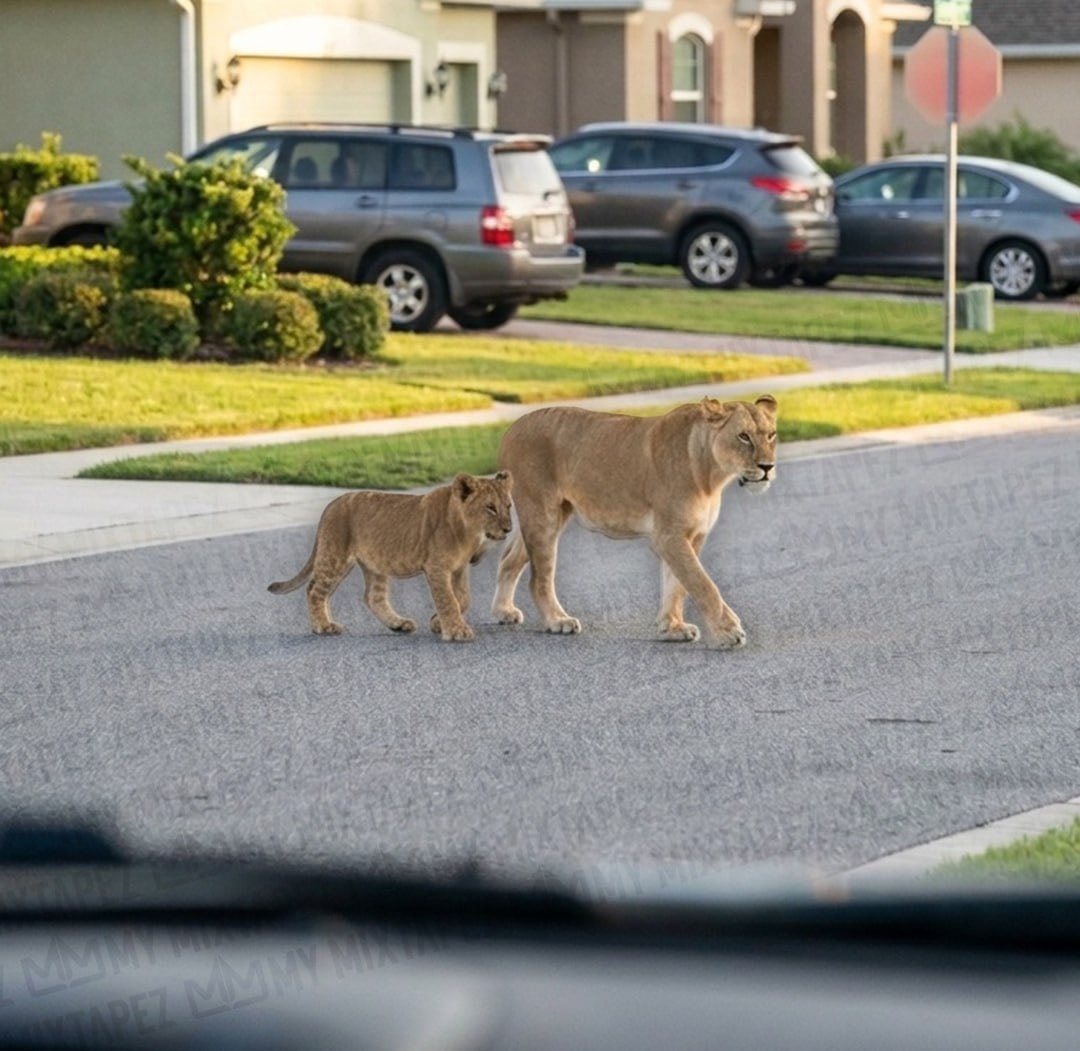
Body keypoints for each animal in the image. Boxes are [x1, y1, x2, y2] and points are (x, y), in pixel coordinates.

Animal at [269, 471, 513, 641]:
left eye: (509, 506)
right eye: (490, 508)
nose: (509, 529)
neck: (468, 532)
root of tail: (331, 505)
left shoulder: (459, 568)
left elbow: (463, 598)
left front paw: (437, 622)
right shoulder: (437, 568)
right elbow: (448, 599)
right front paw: (456, 631)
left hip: (375, 564)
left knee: (372, 597)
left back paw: (397, 624)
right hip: (335, 556)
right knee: (314, 590)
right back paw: (323, 626)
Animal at [492, 397, 777, 649]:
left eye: (771, 435)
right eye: (743, 436)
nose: (767, 467)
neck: (712, 476)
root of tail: (511, 428)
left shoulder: (692, 535)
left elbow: (677, 585)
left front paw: (672, 627)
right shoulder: (668, 535)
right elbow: (702, 583)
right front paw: (727, 632)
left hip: (552, 514)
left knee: (508, 560)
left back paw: (503, 611)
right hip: (543, 515)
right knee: (539, 578)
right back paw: (558, 621)